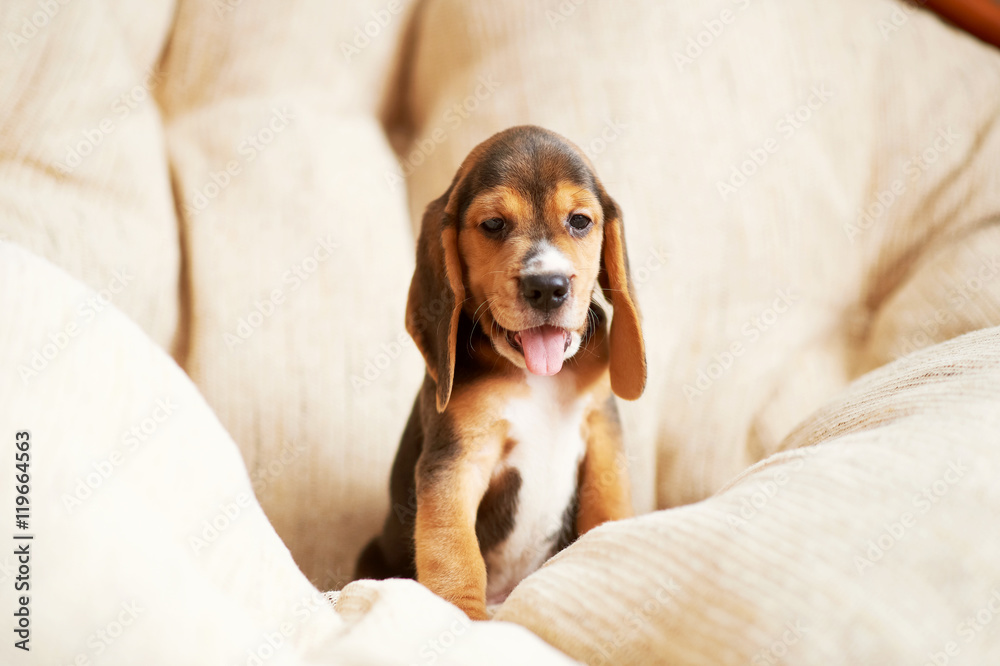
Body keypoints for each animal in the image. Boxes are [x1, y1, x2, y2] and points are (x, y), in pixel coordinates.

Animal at [356, 123, 644, 616]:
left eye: (580, 221)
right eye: (493, 225)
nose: (547, 286)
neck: (539, 378)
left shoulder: (601, 430)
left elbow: (608, 505)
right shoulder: (456, 461)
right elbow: (454, 551)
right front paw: (466, 617)